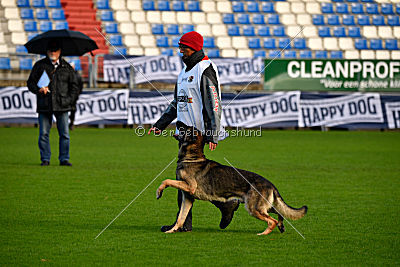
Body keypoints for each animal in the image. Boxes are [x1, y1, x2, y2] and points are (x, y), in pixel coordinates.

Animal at [155, 123, 306, 237]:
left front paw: (159, 191)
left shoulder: (189, 186)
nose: (178, 121)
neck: (192, 157)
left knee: (272, 220)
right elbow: (181, 218)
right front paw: (172, 230)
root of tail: (271, 185)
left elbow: (166, 180)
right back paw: (281, 226)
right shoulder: (188, 198)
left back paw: (263, 233)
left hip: (254, 208)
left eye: (187, 128)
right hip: (264, 206)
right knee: (280, 213)